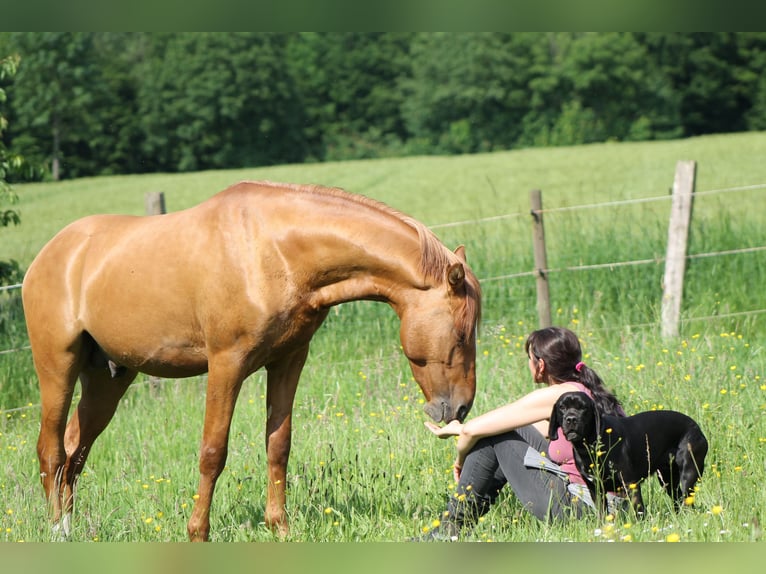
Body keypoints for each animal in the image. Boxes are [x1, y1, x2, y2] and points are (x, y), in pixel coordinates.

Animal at [22, 182, 480, 544]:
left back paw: (73, 528)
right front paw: (198, 534)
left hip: (109, 378)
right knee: (51, 451)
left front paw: (280, 528)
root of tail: (48, 256)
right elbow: (213, 452)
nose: (459, 408)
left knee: (74, 451)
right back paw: (56, 532)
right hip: (57, 368)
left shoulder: (288, 361)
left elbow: (278, 445)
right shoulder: (227, 365)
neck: (274, 252)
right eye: (461, 334)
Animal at [552, 392, 708, 516]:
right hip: (667, 479)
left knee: (687, 499)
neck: (590, 446)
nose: (571, 419)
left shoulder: (630, 483)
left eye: (583, 407)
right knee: (679, 499)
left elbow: (639, 510)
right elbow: (602, 514)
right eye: (562, 407)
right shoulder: (595, 489)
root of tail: (697, 427)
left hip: (689, 472)